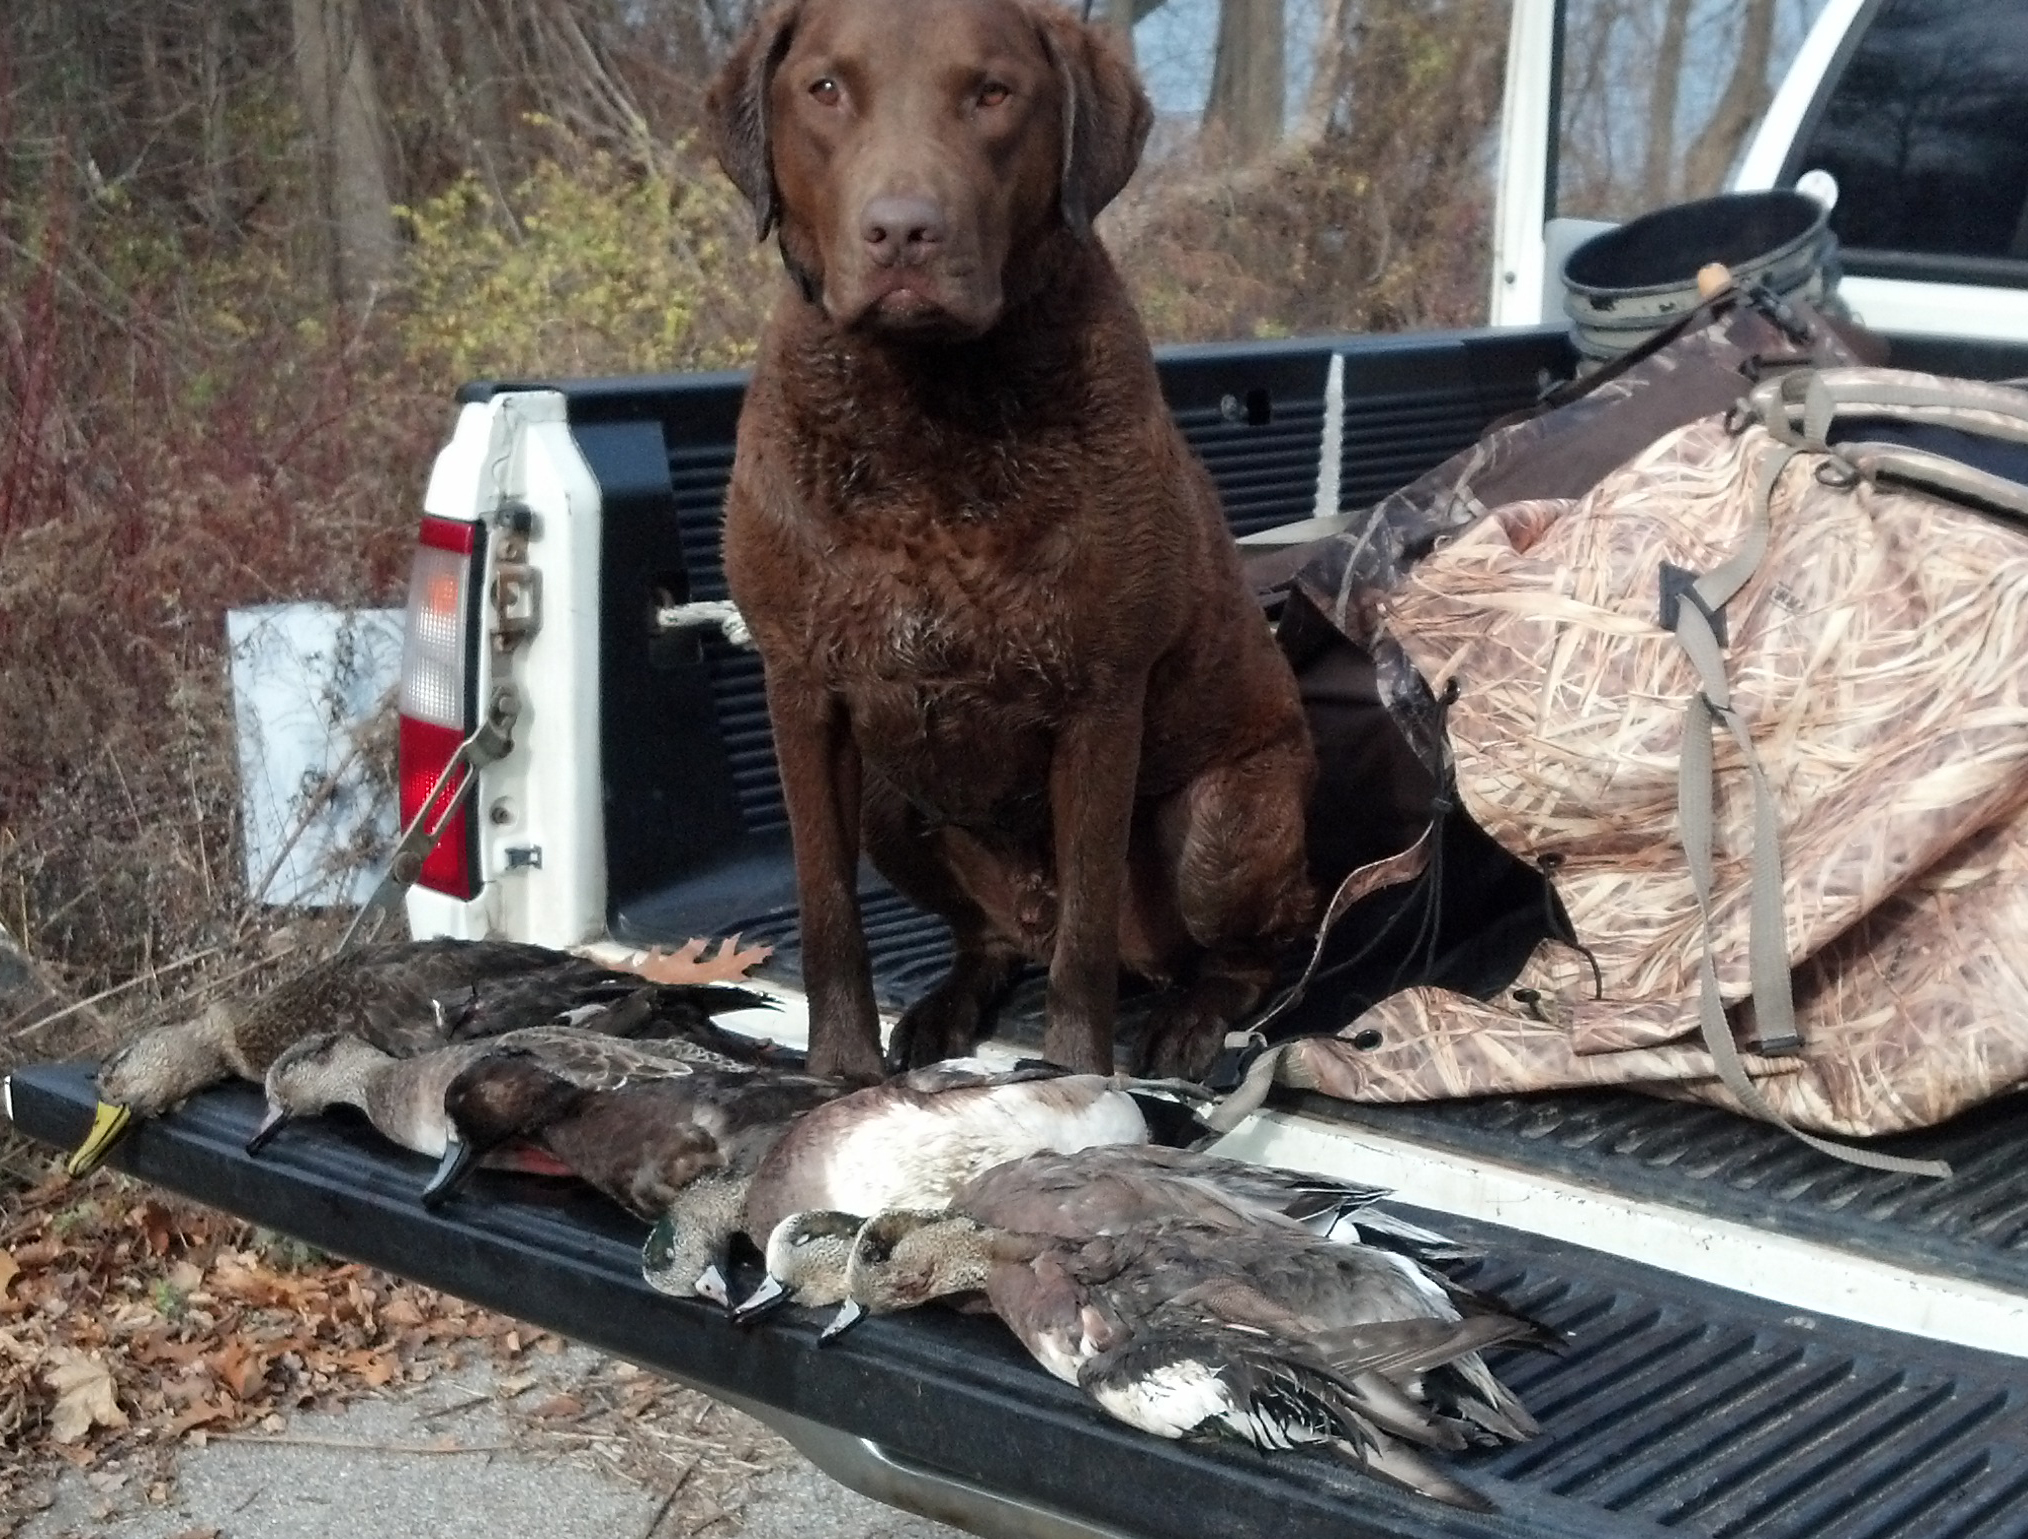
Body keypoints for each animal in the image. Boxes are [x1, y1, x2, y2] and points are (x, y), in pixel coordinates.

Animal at [709, 0, 1314, 1086]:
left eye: (993, 92)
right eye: (825, 89)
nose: (904, 231)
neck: (926, 415)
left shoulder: (1100, 699)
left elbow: (1085, 938)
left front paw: (1073, 1081)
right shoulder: (802, 692)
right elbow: (827, 913)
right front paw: (840, 1074)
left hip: (1225, 823)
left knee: (1247, 943)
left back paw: (1192, 1013)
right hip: (892, 803)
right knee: (989, 936)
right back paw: (950, 1001)